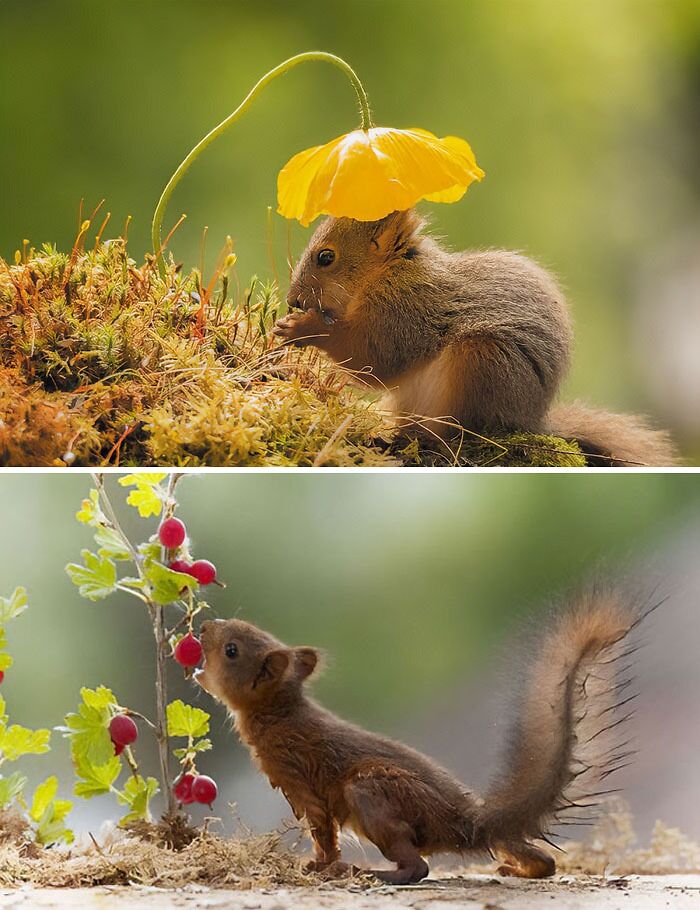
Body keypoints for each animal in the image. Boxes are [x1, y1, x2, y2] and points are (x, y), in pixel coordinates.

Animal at [196, 589, 654, 884]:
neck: (281, 713)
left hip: (371, 791)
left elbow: (323, 833)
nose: (204, 626)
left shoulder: (300, 780)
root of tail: (466, 823)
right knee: (542, 860)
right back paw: (519, 868)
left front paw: (318, 867)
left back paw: (368, 873)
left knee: (418, 868)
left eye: (232, 649)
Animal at [273, 210, 677, 466]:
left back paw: (436, 440)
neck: (388, 272)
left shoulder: (409, 310)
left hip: (482, 363)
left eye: (326, 257)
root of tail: (531, 419)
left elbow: (376, 357)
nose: (293, 299)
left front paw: (304, 327)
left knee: (465, 432)